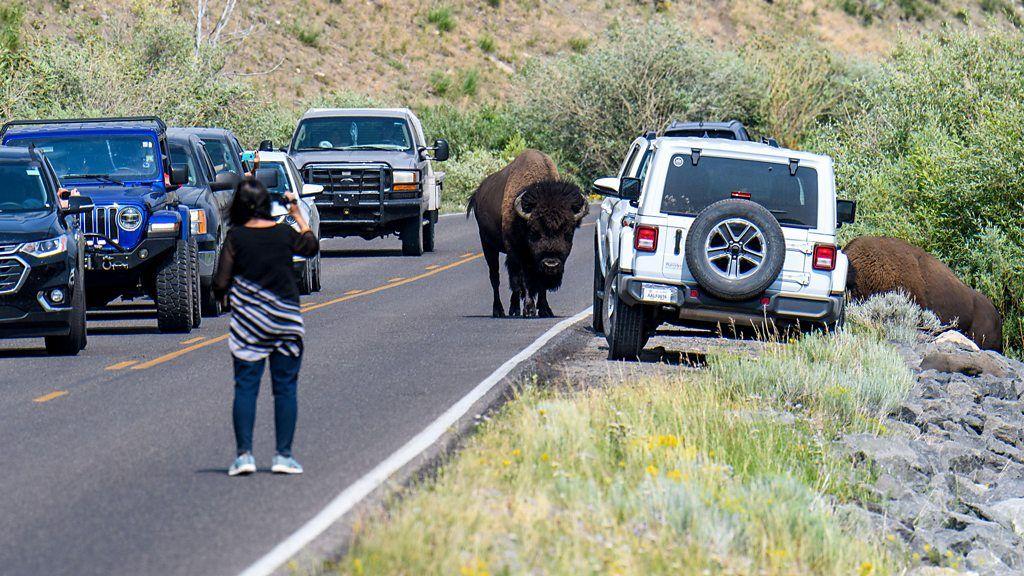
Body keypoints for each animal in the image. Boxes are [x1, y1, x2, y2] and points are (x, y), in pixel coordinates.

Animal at [468, 147, 589, 315]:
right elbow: (524, 279)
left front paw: (545, 309)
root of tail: (478, 192)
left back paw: (514, 308)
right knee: (496, 277)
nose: (551, 264)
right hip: (488, 245)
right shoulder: (518, 252)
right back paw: (499, 310)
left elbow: (538, 284)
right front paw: (529, 308)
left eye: (568, 233)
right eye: (534, 232)